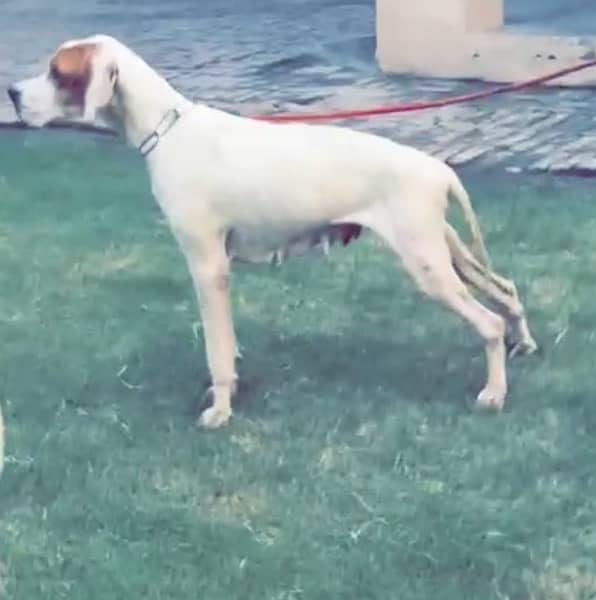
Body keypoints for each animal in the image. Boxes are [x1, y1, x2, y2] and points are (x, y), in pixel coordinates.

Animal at [7, 36, 536, 426]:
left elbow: (217, 351)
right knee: (506, 290)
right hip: (447, 255)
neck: (168, 128)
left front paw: (220, 411)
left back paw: (493, 393)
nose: (11, 93)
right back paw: (524, 345)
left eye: (58, 72)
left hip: (427, 266)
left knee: (488, 323)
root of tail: (438, 169)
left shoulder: (207, 266)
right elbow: (227, 344)